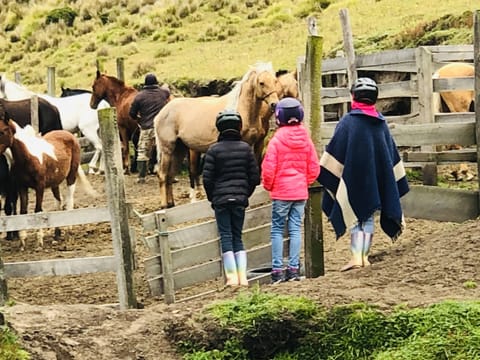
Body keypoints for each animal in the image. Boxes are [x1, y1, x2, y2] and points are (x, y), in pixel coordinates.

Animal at [0, 105, 96, 249]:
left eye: (3, 131)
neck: (28, 157)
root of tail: (70, 135)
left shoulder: (39, 187)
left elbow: (38, 210)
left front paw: (39, 242)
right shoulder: (22, 187)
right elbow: (23, 211)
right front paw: (22, 242)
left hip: (71, 177)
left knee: (69, 200)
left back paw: (69, 230)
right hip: (55, 182)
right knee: (58, 201)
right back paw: (57, 234)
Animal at [154, 62, 282, 208]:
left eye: (275, 81)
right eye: (261, 83)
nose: (274, 104)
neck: (243, 110)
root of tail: (162, 113)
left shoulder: (258, 143)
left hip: (178, 150)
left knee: (170, 176)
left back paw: (172, 204)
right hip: (167, 150)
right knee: (163, 175)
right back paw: (165, 205)